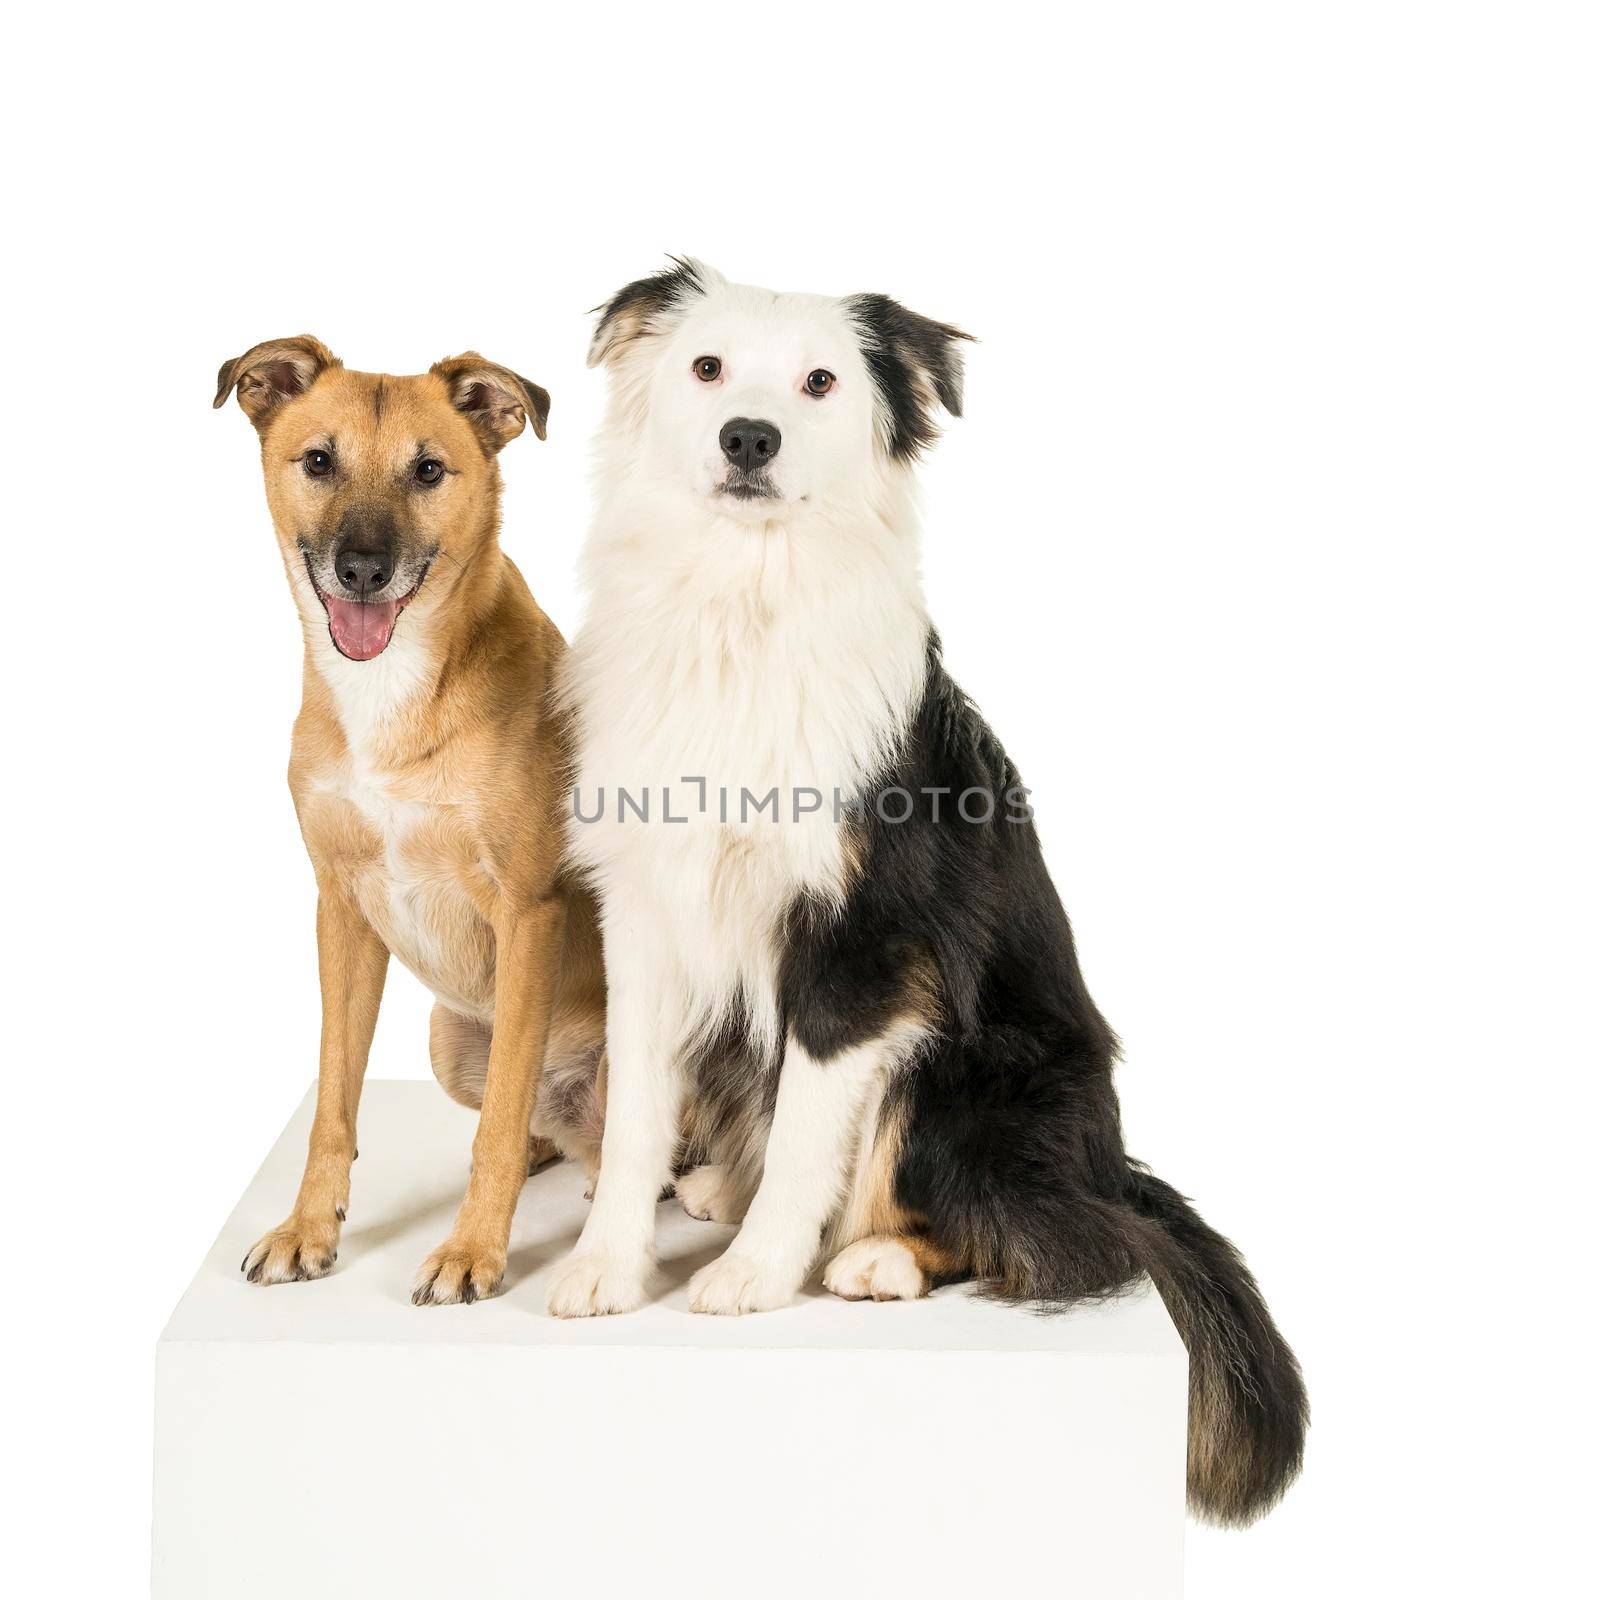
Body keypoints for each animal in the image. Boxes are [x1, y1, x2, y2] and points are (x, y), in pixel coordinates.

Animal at [216, 334, 601, 1299]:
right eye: (319, 461)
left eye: (429, 470)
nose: (362, 568)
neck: (393, 690)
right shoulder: (342, 909)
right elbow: (333, 1097)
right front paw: (307, 1229)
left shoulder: (530, 911)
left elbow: (496, 1127)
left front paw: (474, 1249)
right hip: (445, 1037)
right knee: (548, 1130)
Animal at [547, 262, 1299, 1523]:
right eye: (705, 366)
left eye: (819, 381)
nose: (748, 436)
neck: (744, 604)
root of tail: (1110, 1157)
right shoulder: (645, 916)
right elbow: (641, 1108)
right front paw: (606, 1260)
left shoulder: (866, 944)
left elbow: (812, 1121)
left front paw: (760, 1269)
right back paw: (722, 1185)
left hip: (975, 1069)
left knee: (1074, 1240)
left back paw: (880, 1254)